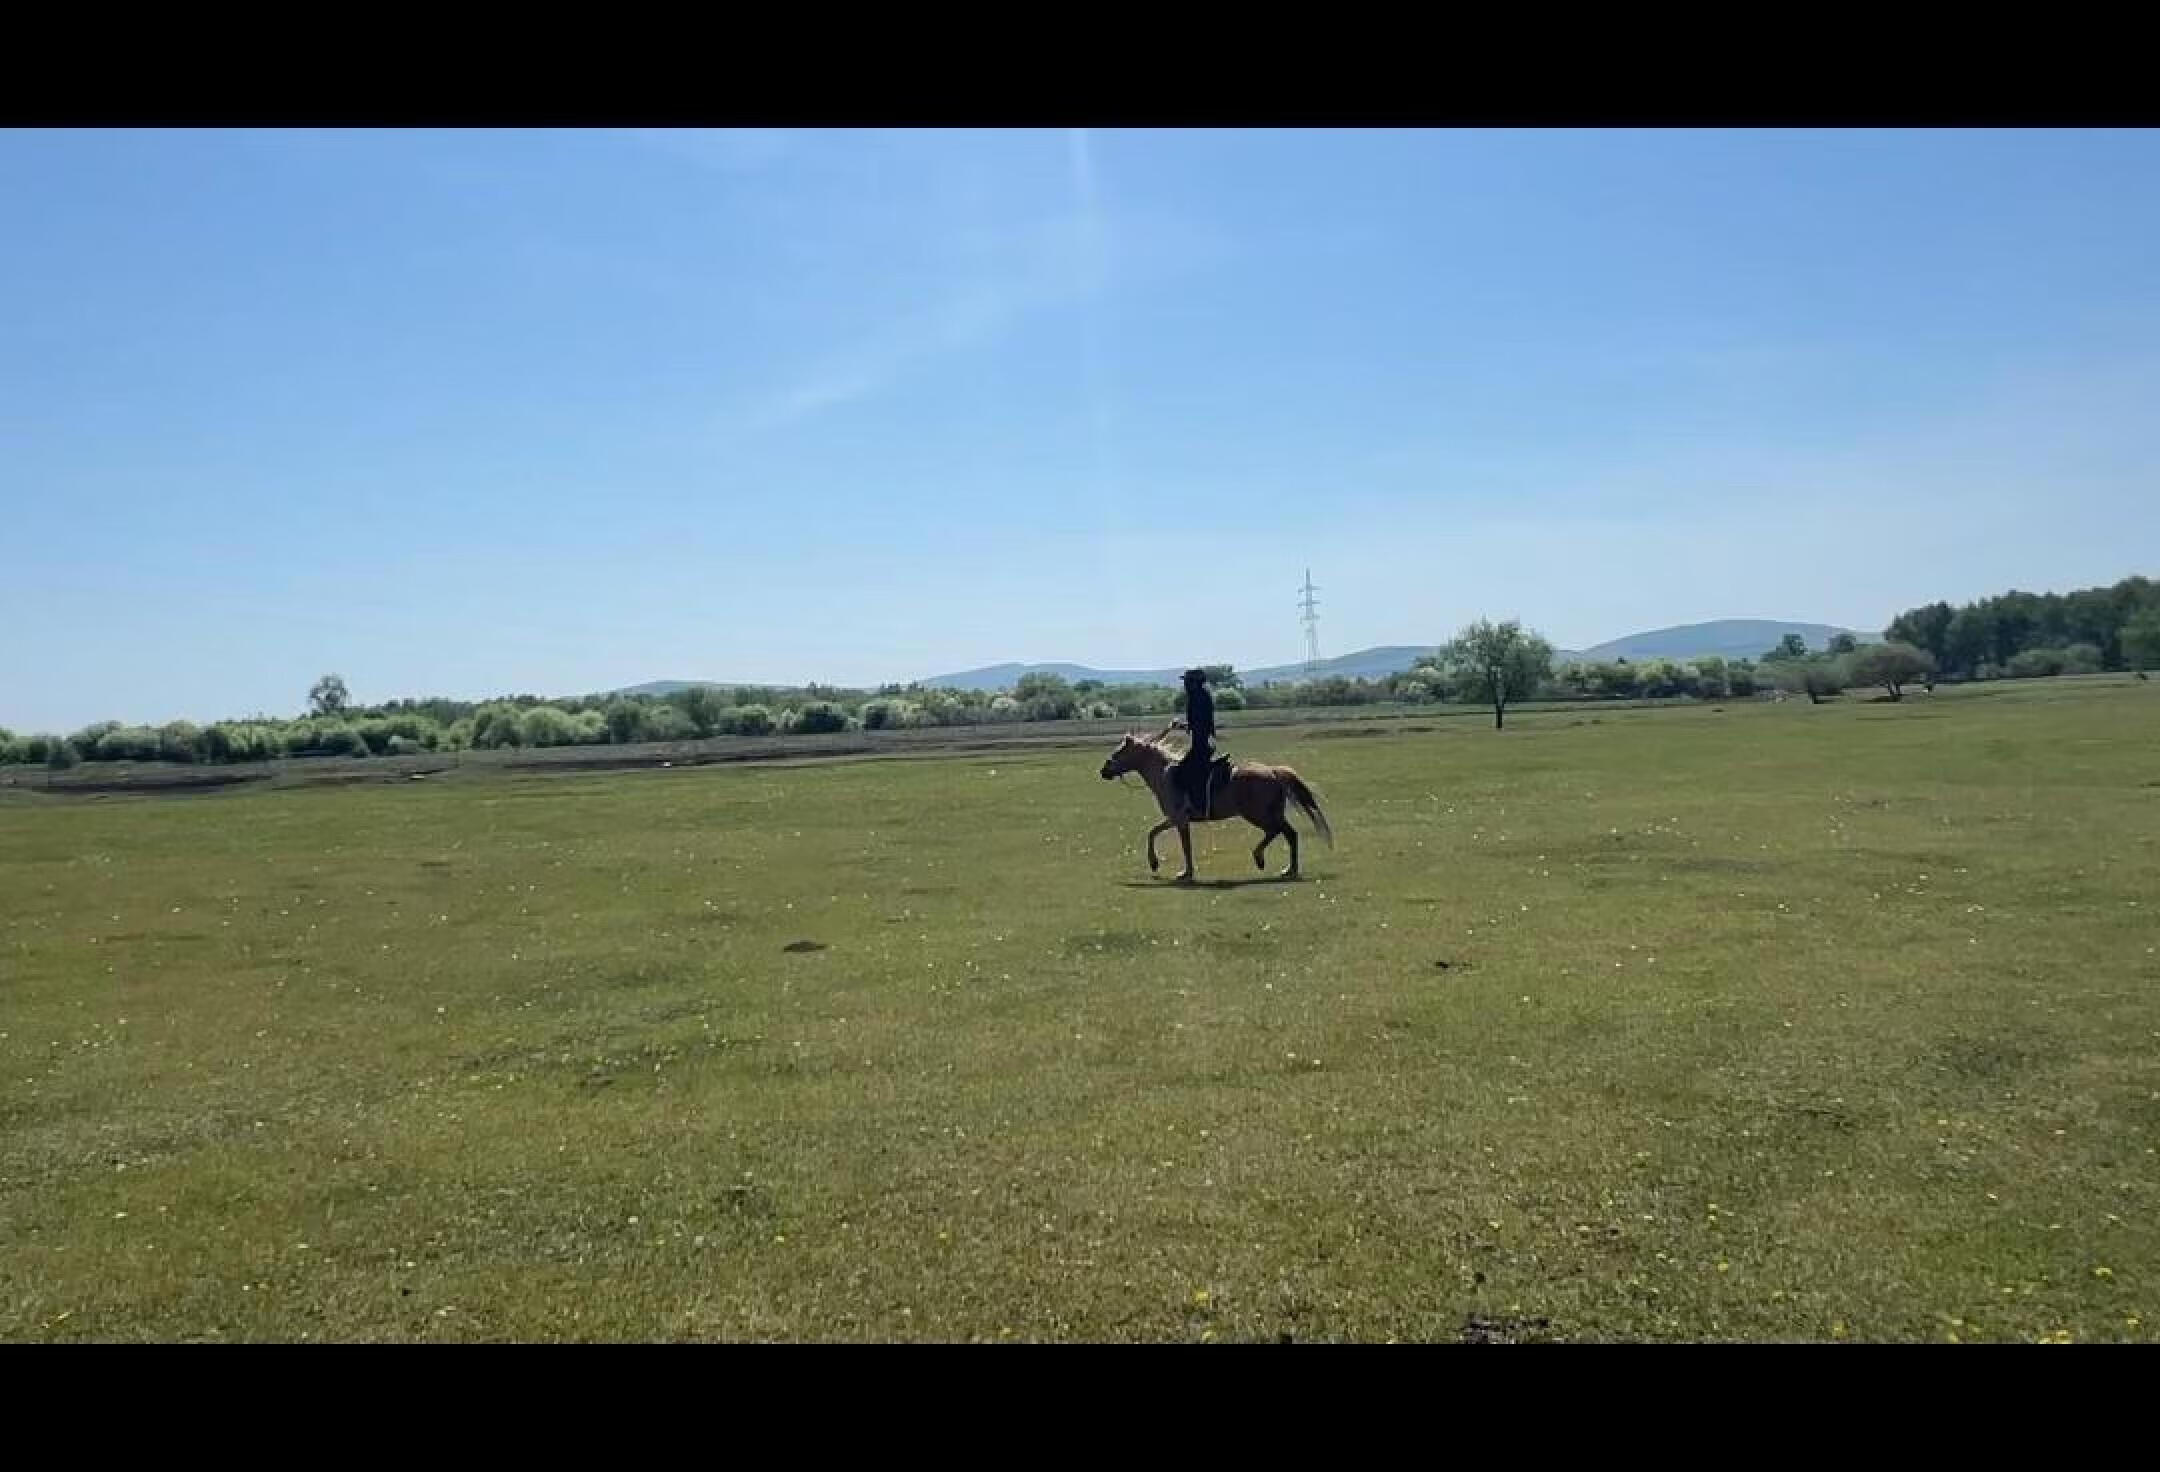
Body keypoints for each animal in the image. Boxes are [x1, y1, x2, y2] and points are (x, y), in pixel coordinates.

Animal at [1097, 726, 1330, 877]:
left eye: (1119, 751)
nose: (1103, 771)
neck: (1165, 775)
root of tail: (1273, 771)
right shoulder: (1174, 819)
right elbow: (1154, 833)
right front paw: (1160, 865)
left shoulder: (1178, 819)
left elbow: (1182, 844)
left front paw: (1182, 871)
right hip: (1271, 813)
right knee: (1288, 834)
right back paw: (1286, 868)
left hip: (1258, 814)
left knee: (1280, 832)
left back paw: (1267, 861)